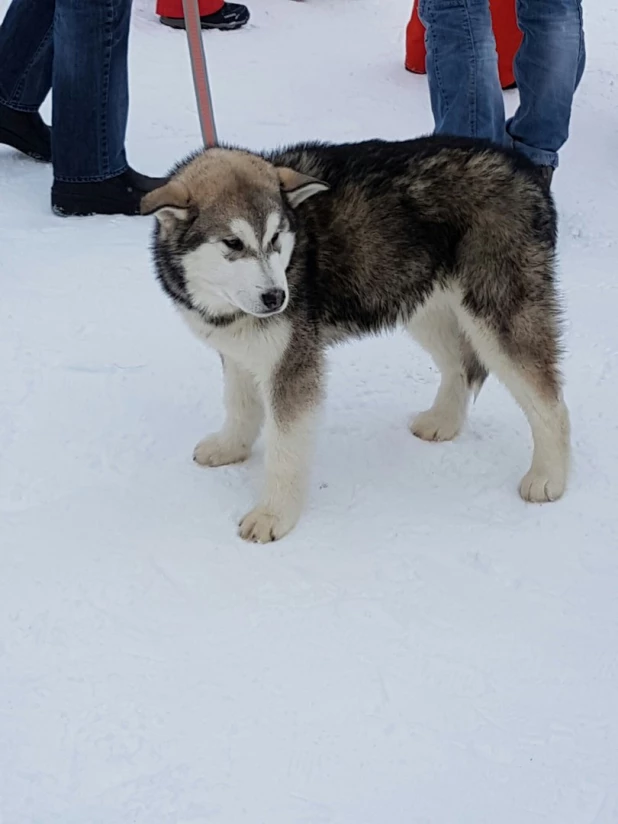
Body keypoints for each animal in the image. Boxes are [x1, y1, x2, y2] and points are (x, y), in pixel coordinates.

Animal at [142, 138, 572, 544]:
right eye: (233, 243)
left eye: (277, 237)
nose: (277, 298)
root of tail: (524, 168)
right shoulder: (238, 350)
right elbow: (240, 405)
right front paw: (231, 447)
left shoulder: (293, 360)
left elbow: (285, 447)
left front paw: (273, 514)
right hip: (422, 303)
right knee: (461, 365)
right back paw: (443, 422)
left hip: (497, 311)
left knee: (549, 399)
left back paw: (549, 476)